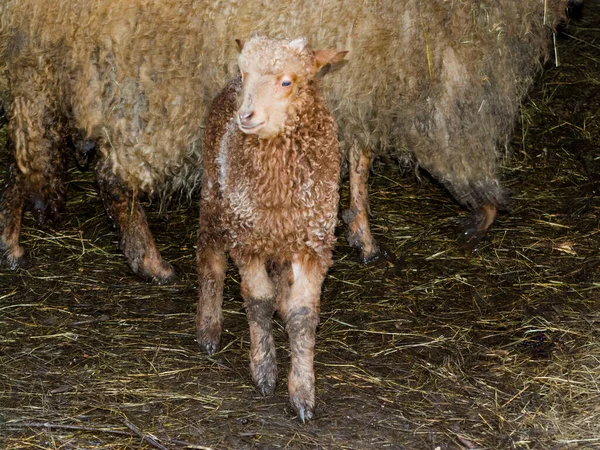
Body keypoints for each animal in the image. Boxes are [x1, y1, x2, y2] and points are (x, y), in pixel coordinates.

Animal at [0, 0, 568, 282]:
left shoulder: (362, 83)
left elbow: (357, 159)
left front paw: (362, 234)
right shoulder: (441, 77)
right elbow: (454, 149)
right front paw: (483, 211)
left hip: (54, 78)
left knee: (21, 163)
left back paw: (12, 244)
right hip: (145, 85)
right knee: (115, 178)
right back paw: (150, 262)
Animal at [197, 36, 346, 422]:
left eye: (287, 82)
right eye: (245, 71)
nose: (246, 116)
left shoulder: (312, 243)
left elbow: (303, 315)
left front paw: (303, 392)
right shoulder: (246, 238)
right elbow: (258, 302)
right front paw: (264, 370)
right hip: (215, 196)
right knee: (210, 258)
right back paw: (208, 327)